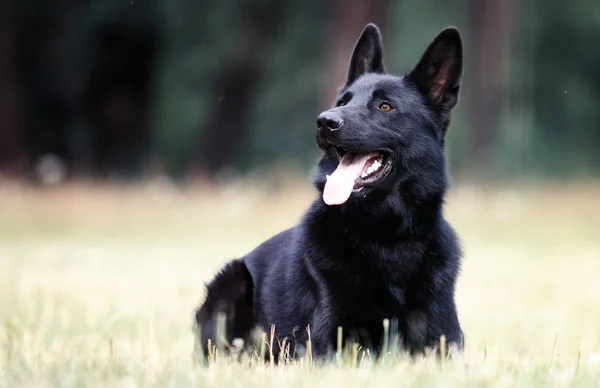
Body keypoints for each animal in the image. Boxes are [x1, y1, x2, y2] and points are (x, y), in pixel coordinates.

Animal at [196, 22, 464, 360]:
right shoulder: (327, 345)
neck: (387, 240)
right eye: (342, 103)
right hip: (232, 283)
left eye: (385, 106)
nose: (325, 121)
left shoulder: (446, 343)